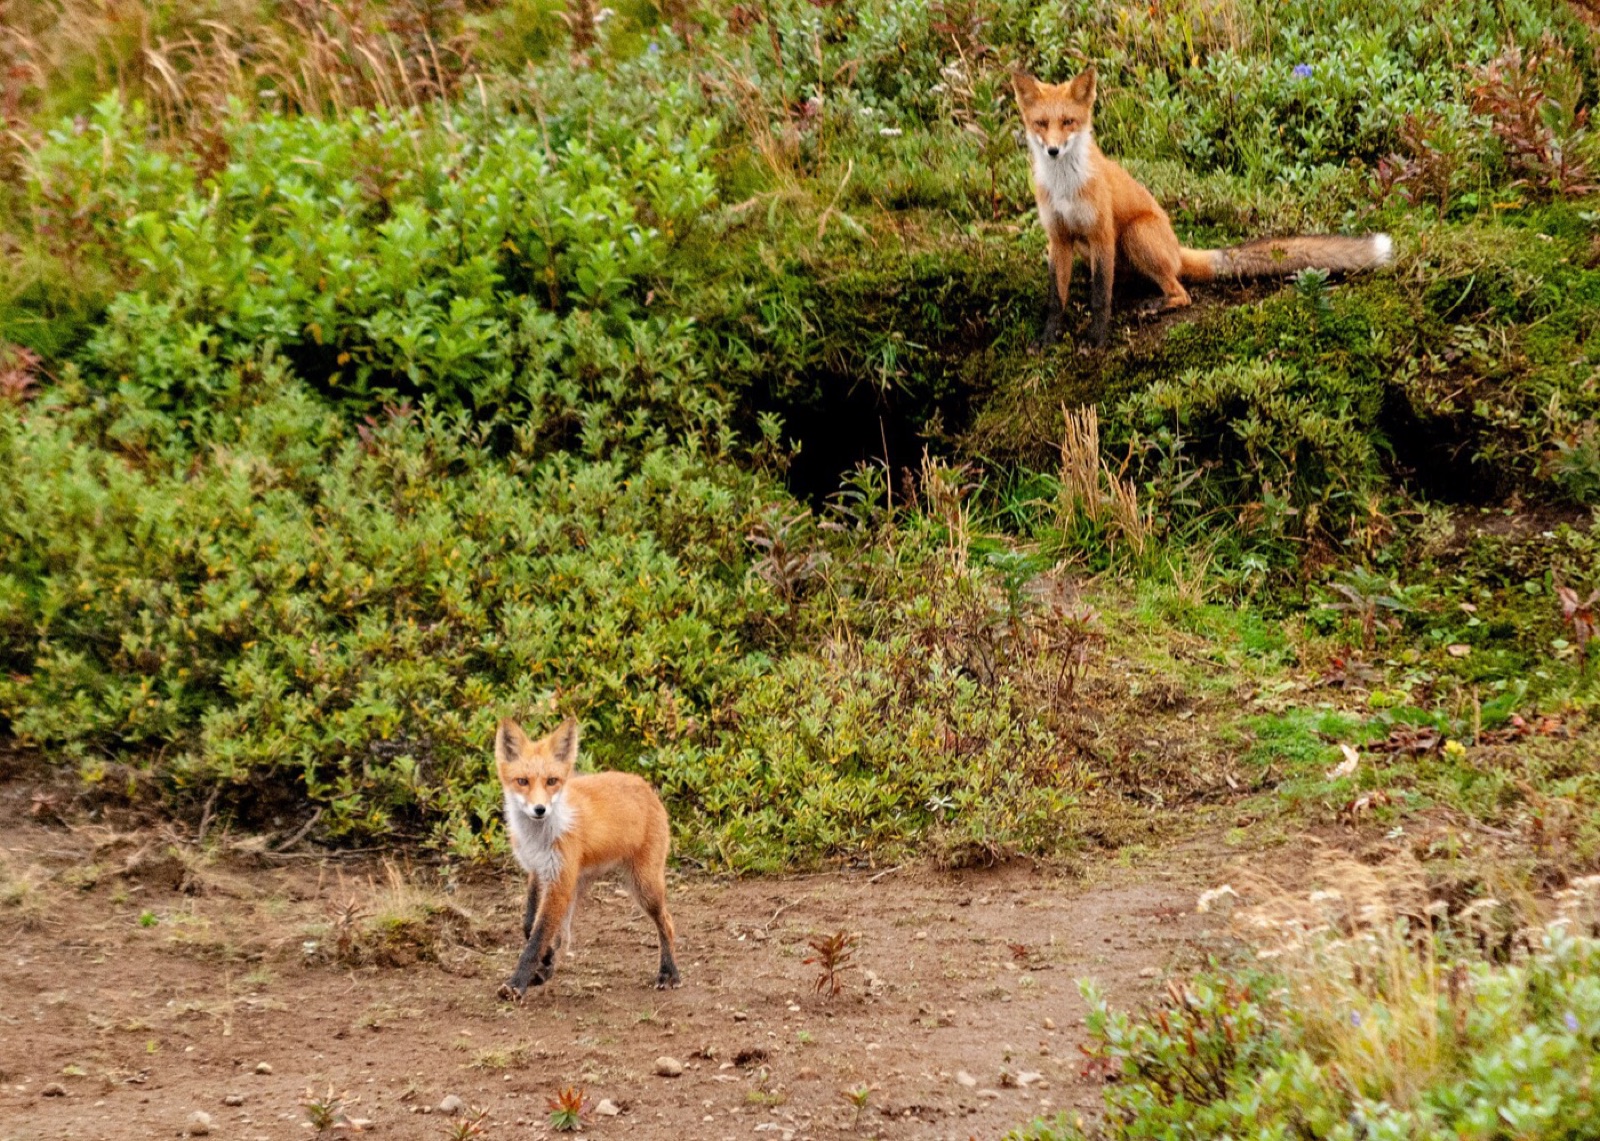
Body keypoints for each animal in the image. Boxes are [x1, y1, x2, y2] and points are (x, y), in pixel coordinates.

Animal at [494, 716, 681, 998]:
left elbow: (537, 937)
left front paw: (517, 984)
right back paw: (546, 970)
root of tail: (643, 784)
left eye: (552, 781)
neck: (538, 837)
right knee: (565, 935)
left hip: (644, 886)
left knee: (667, 922)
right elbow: (530, 926)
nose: (540, 809)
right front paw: (544, 961)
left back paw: (669, 972)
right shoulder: (538, 871)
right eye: (522, 781)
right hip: (579, 884)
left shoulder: (559, 880)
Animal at [1012, 66, 1393, 349]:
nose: (1053, 151)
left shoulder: (1101, 233)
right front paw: (1047, 340)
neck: (1065, 188)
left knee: (1180, 291)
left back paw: (1155, 305)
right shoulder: (1058, 239)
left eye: (1068, 122)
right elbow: (1055, 300)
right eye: (1041, 124)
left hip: (1134, 235)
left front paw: (1096, 340)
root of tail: (1177, 247)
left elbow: (1099, 297)